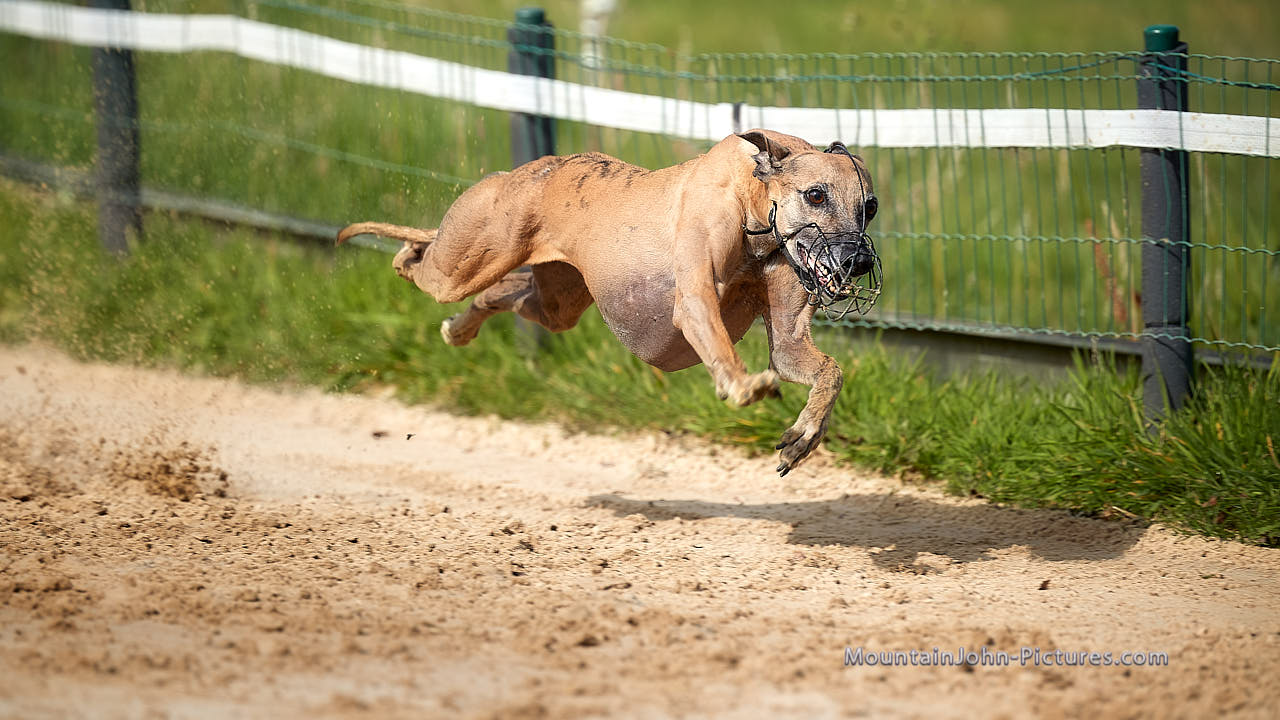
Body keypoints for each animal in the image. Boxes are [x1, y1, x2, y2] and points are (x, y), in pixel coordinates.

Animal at [338, 129, 880, 475]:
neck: (755, 201)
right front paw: (747, 386)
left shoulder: (787, 338)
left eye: (869, 206)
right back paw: (405, 252)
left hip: (557, 300)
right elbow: (719, 342)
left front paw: (803, 436)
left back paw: (460, 328)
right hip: (463, 263)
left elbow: (824, 370)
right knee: (416, 261)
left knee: (503, 295)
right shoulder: (695, 298)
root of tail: (528, 171)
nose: (857, 262)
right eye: (815, 194)